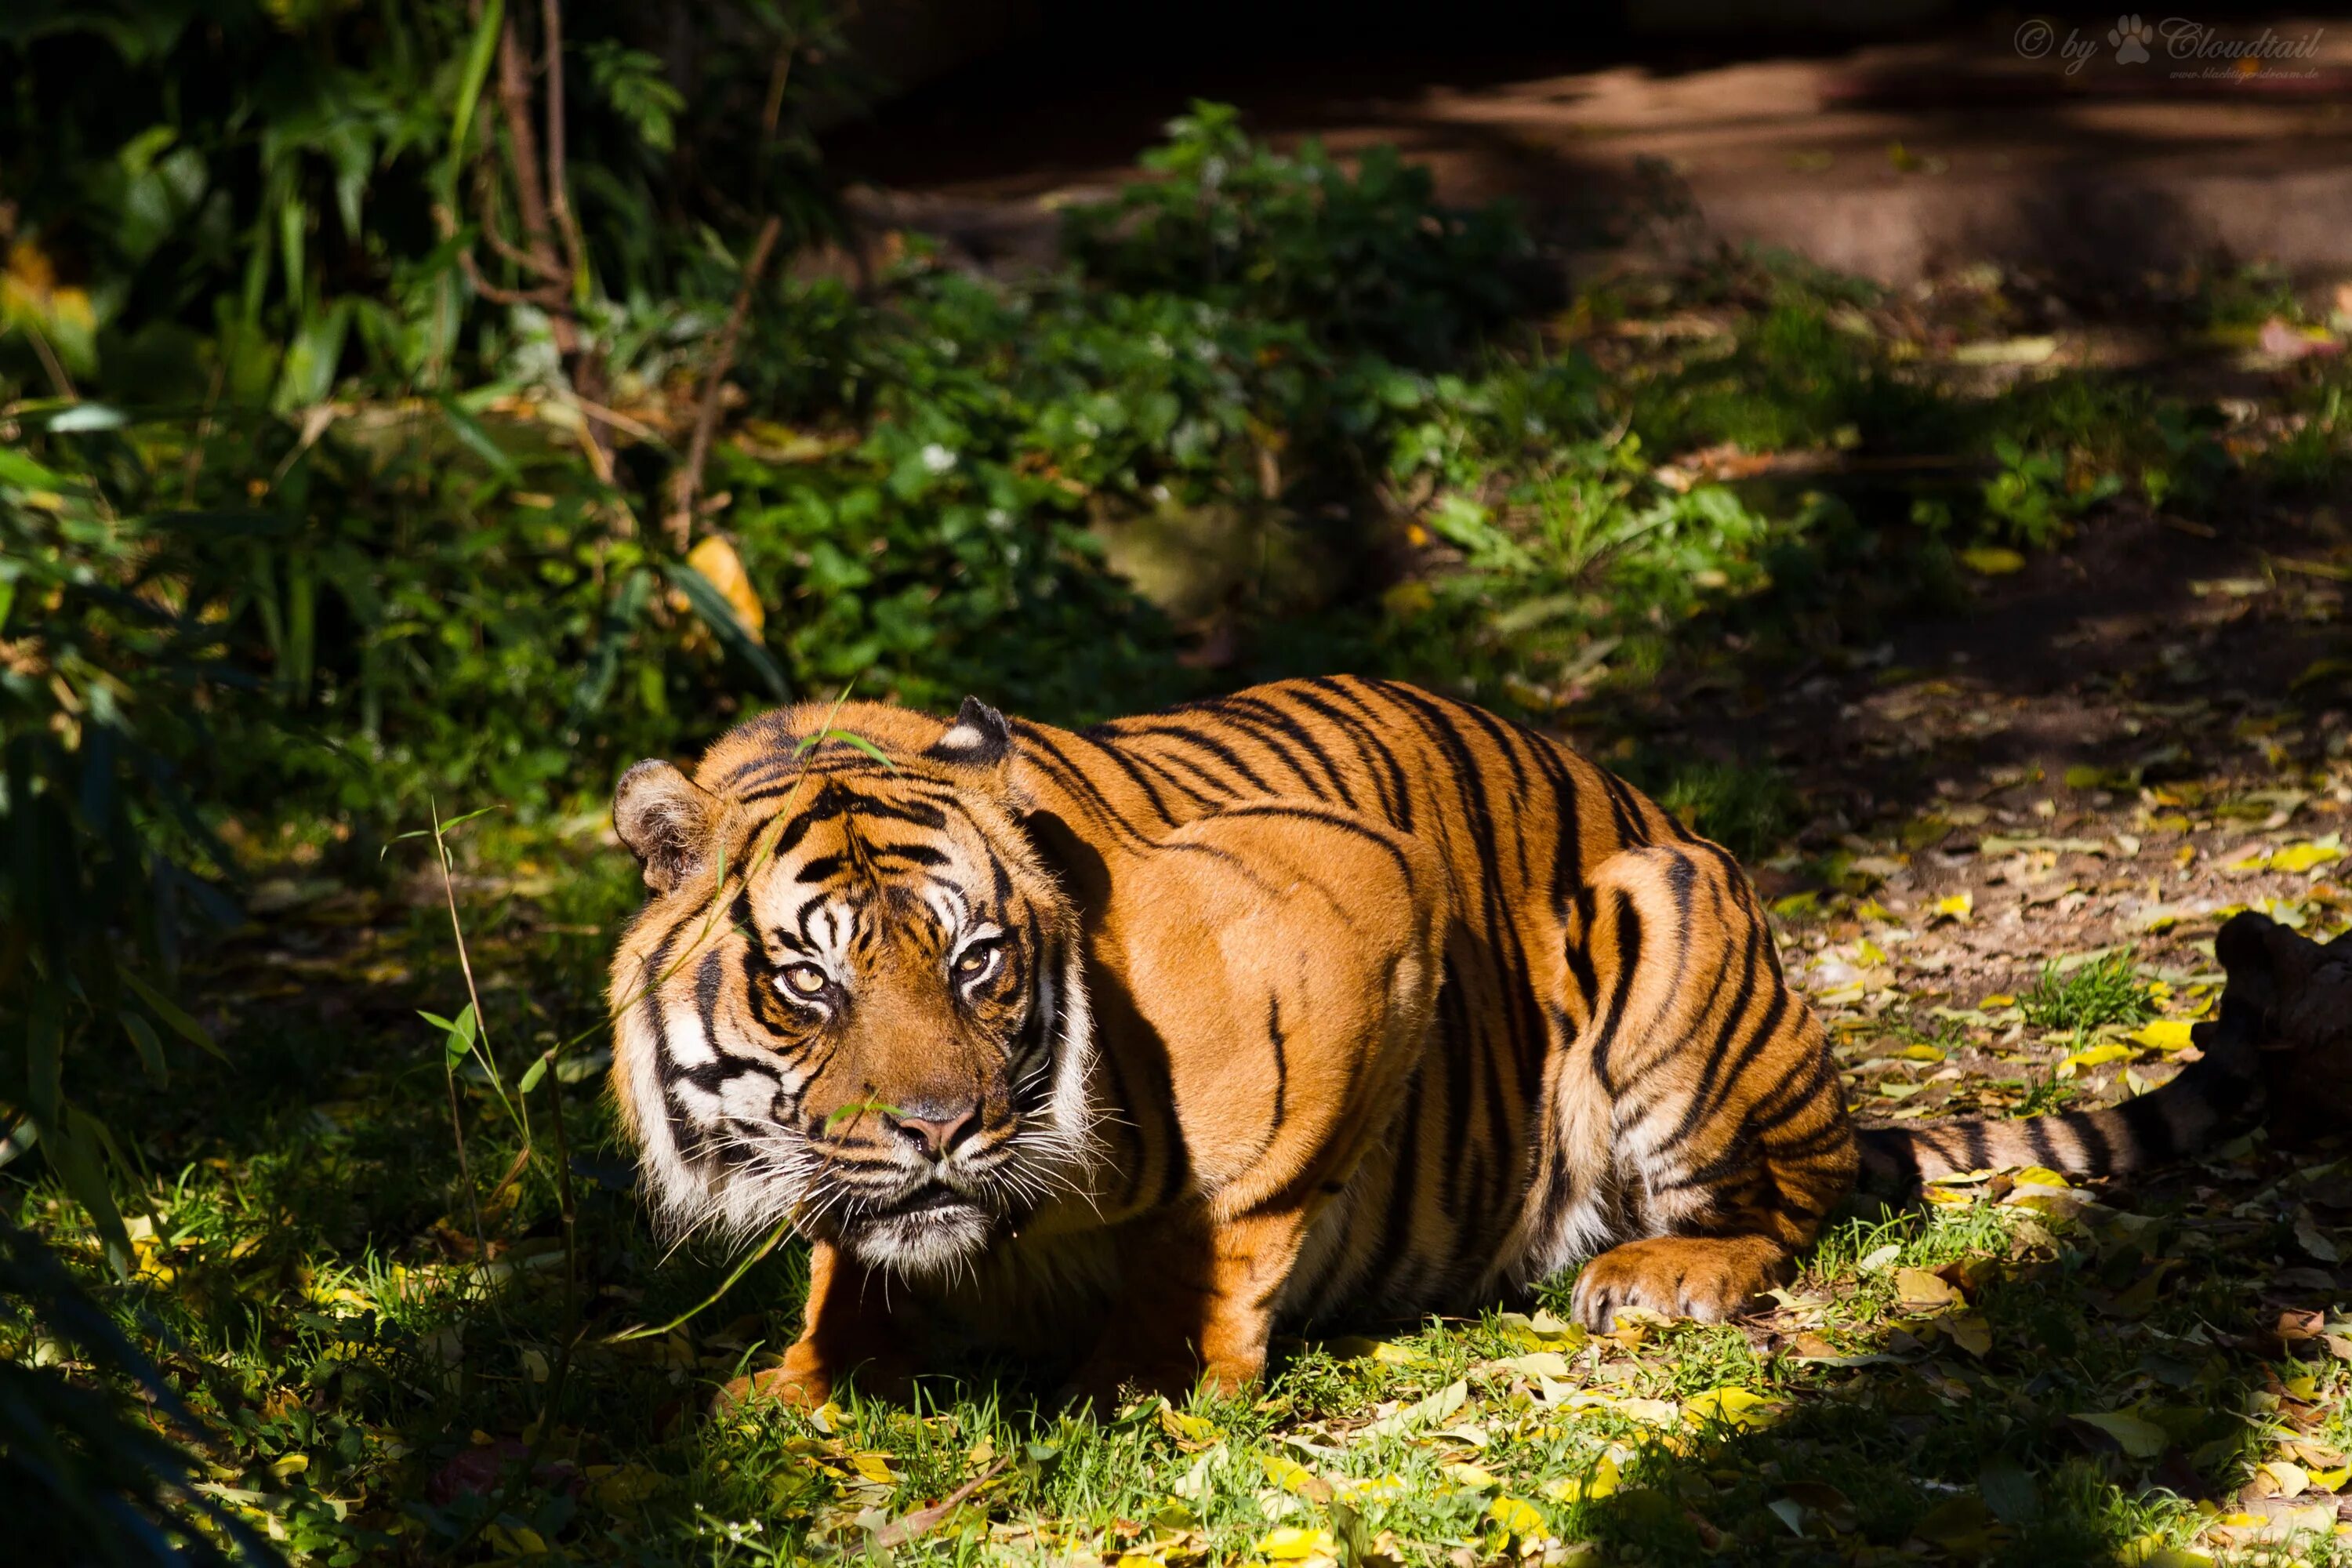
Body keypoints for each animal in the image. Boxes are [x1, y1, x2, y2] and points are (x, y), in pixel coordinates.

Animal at [607, 677, 2277, 1410]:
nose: (941, 1131)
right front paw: (800, 1381)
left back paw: (1661, 1277)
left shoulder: (1349, 915)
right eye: (810, 986)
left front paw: (1151, 1378)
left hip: (1666, 918)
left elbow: (1223, 1218)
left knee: (1791, 1205)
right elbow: (847, 1256)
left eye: (977, 963)